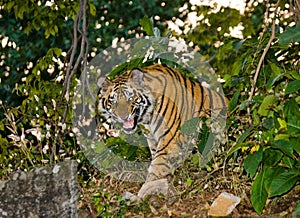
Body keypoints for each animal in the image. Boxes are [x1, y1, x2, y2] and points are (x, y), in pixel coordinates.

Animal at [95, 63, 225, 197]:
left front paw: (143, 193)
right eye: (113, 101)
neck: (147, 117)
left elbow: (157, 166)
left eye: (130, 97)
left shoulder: (170, 140)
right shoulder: (153, 140)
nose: (123, 117)